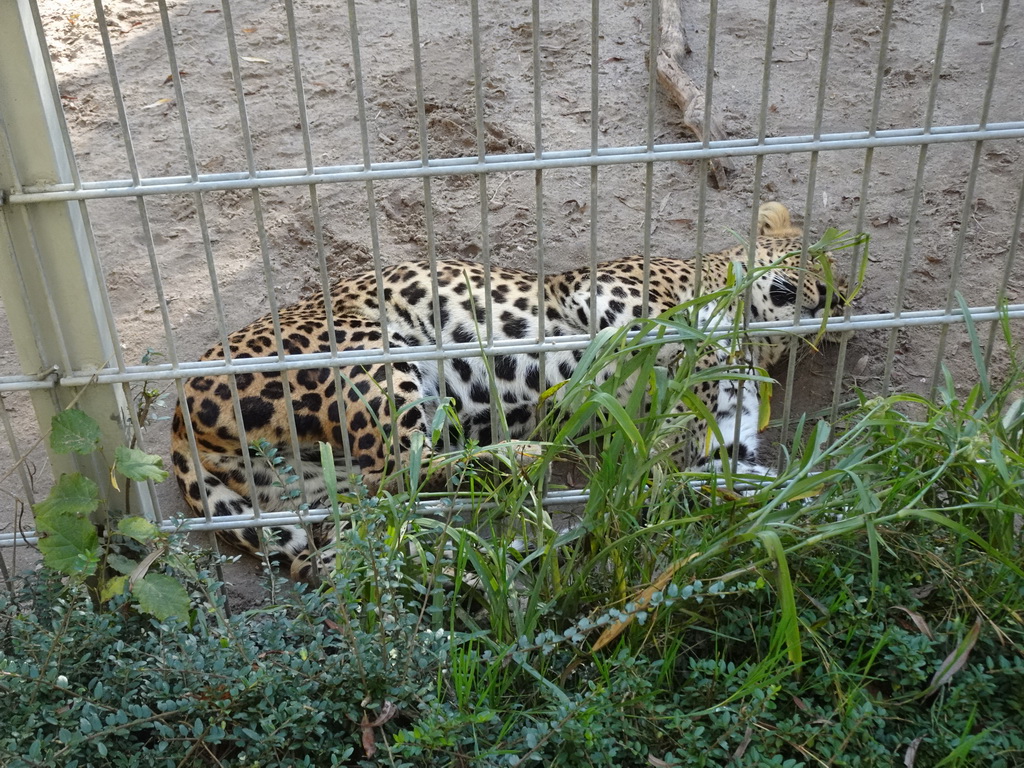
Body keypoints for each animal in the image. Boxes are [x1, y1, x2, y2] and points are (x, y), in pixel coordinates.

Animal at [172, 201, 843, 581]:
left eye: (846, 293)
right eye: (815, 260)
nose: (831, 302)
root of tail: (179, 422)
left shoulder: (727, 426)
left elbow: (733, 462)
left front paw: (807, 509)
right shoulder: (606, 297)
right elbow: (664, 335)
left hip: (326, 491)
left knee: (362, 533)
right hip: (371, 357)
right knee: (400, 467)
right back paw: (520, 471)